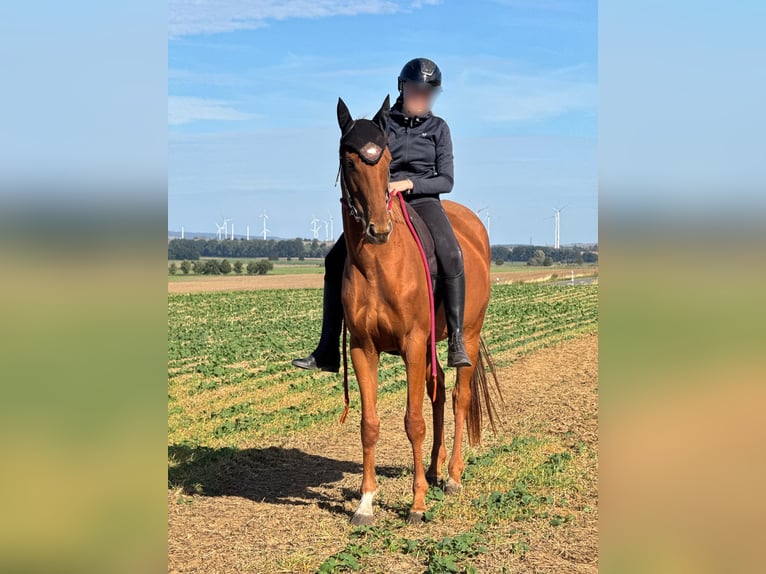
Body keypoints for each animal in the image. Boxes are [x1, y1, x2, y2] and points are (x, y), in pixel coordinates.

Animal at [336, 95, 502, 525]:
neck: (379, 265)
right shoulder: (363, 348)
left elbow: (413, 422)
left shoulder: (412, 344)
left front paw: (417, 504)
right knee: (439, 391)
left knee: (458, 396)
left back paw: (452, 476)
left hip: (467, 335)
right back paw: (433, 467)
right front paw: (365, 502)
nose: (379, 229)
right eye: (350, 160)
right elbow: (369, 424)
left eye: (386, 159)